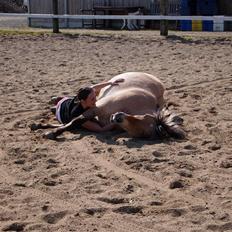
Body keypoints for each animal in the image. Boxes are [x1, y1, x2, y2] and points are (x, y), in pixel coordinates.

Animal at [31, 71, 185, 140]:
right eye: (144, 117)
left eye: (141, 133)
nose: (117, 117)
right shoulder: (96, 108)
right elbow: (75, 121)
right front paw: (52, 132)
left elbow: (71, 122)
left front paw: (43, 126)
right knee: (93, 88)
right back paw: (54, 100)